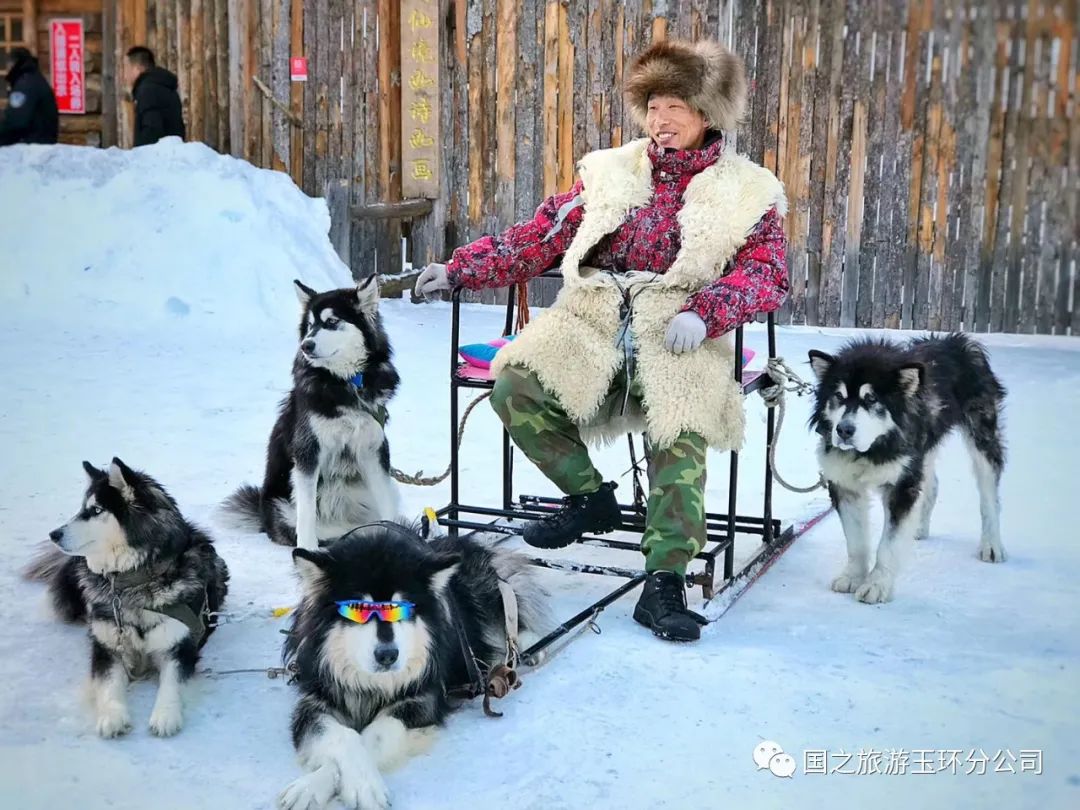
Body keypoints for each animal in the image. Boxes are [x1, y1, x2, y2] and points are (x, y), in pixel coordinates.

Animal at [24, 460, 230, 738]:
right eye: (82, 508)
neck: (136, 580)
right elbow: (109, 682)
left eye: (96, 510)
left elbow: (172, 683)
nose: (53, 534)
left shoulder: (180, 646)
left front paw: (166, 715)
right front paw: (112, 716)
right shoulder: (107, 647)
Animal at [225, 276, 403, 548]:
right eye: (309, 326)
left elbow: (386, 504)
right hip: (282, 504)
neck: (346, 383)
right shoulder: (308, 451)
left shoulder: (372, 449)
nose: (305, 345)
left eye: (331, 322)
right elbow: (306, 513)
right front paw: (307, 547)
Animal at [278, 520, 548, 810]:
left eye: (403, 608)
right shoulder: (313, 701)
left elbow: (375, 734)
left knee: (513, 618)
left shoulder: (422, 701)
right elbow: (344, 736)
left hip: (486, 598)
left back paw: (527, 648)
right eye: (358, 609)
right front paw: (312, 786)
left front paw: (362, 785)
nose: (388, 655)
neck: (372, 684)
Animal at [812, 332, 1002, 604]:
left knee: (989, 497)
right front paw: (853, 576)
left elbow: (888, 544)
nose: (844, 430)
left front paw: (877, 584)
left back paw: (992, 544)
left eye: (871, 399)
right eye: (838, 396)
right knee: (931, 485)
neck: (873, 448)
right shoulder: (844, 482)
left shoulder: (900, 485)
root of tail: (954, 341)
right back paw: (919, 527)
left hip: (982, 437)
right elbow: (856, 541)